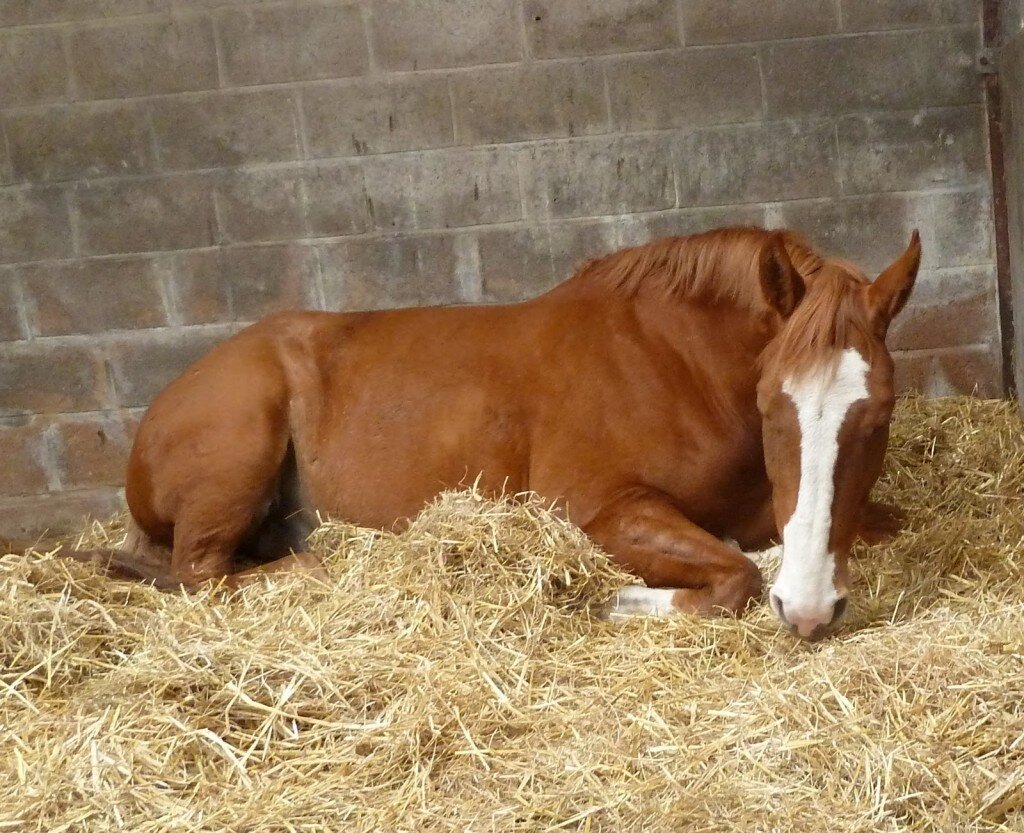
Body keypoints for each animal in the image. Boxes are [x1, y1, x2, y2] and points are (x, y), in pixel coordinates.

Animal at [72, 224, 921, 639]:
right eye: (772, 403)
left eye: (879, 415)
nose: (808, 610)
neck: (673, 362)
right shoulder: (599, 508)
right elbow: (734, 577)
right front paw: (616, 600)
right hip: (236, 460)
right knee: (203, 573)